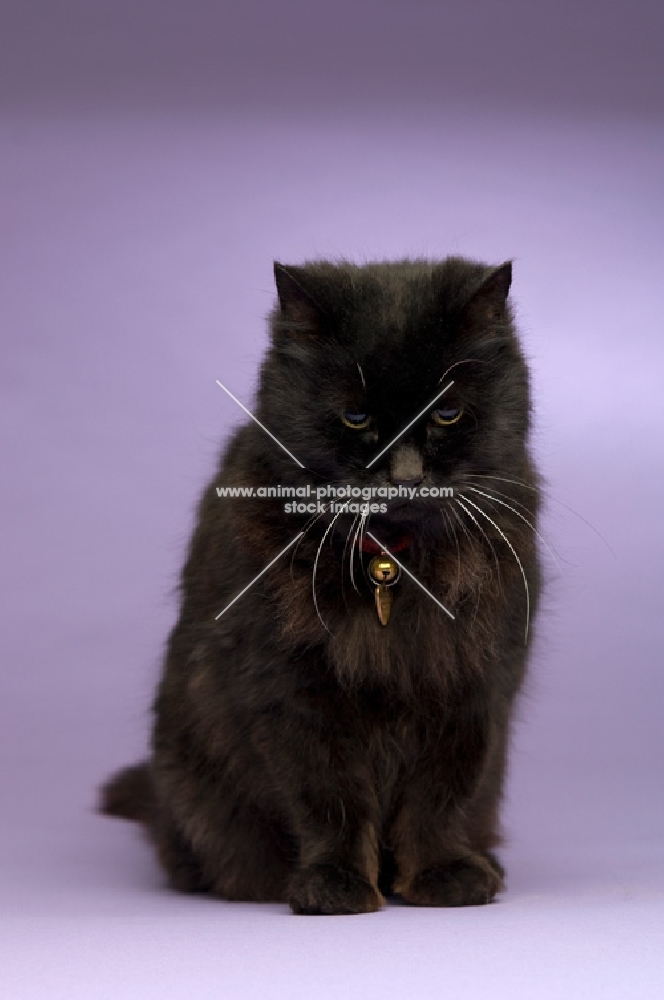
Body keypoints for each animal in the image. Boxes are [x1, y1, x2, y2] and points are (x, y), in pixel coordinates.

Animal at [101, 256, 544, 916]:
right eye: (356, 418)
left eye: (447, 414)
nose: (406, 477)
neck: (390, 566)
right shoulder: (293, 691)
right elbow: (330, 800)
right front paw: (334, 886)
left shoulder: (471, 687)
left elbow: (441, 798)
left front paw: (445, 877)